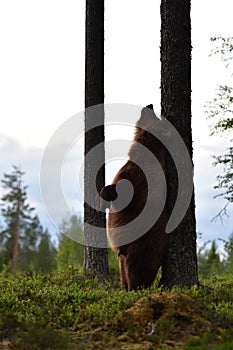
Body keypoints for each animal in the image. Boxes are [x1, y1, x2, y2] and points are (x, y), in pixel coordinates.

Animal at [99, 105, 168, 292]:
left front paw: (103, 194)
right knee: (123, 268)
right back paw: (123, 287)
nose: (149, 105)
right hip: (124, 255)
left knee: (136, 269)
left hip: (140, 247)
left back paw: (134, 288)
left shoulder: (136, 176)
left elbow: (119, 192)